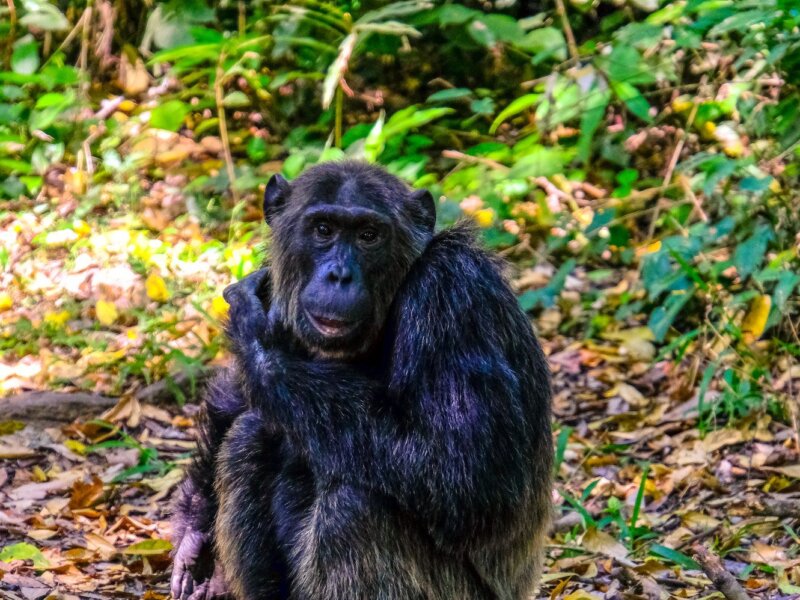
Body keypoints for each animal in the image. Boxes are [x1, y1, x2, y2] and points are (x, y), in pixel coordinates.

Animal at [170, 161, 553, 599]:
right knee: (248, 437)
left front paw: (255, 334)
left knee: (355, 507)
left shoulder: (453, 294)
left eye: (369, 235)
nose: (339, 275)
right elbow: (236, 399)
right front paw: (196, 536)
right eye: (323, 229)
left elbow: (468, 471)